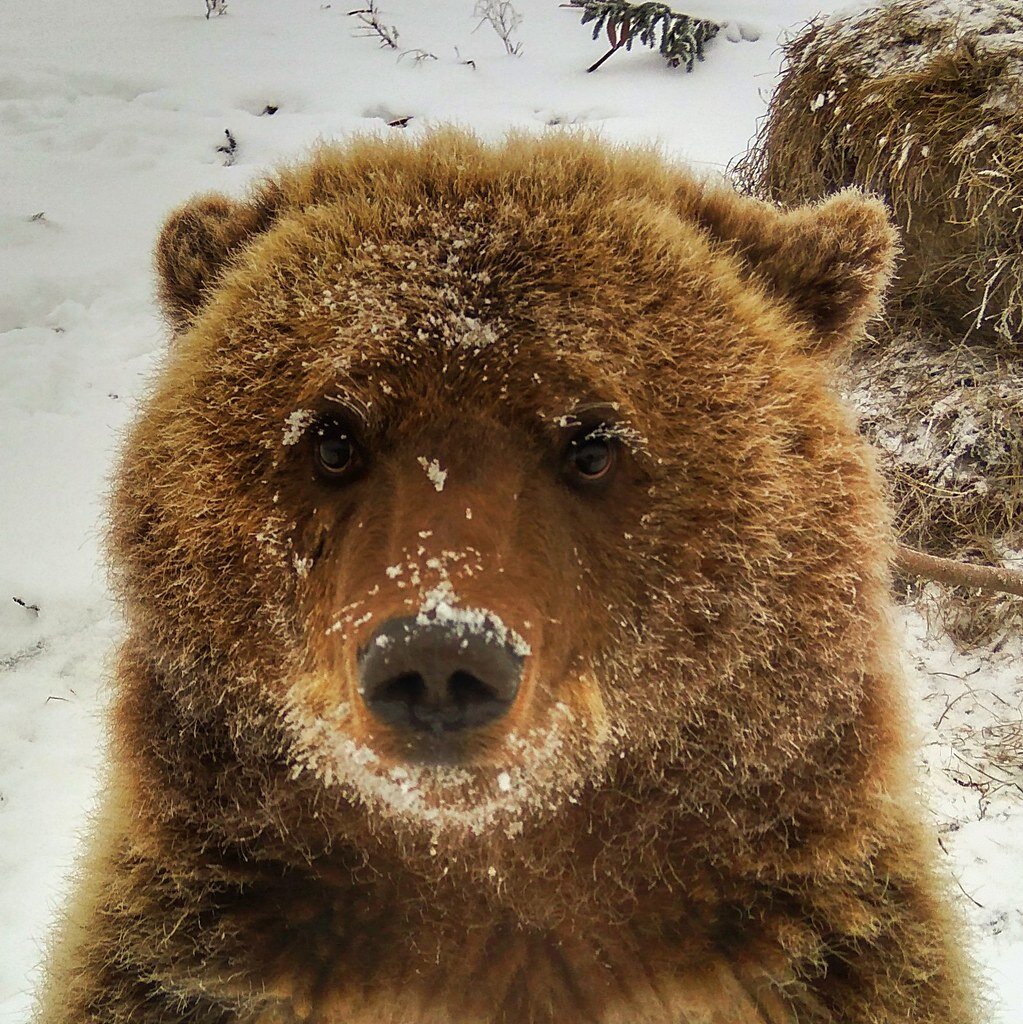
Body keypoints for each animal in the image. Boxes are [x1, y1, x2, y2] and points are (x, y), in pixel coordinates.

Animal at [34, 132, 974, 1019]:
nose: (439, 661)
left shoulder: (818, 956)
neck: (490, 885)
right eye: (333, 437)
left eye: (591, 443)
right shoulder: (188, 960)